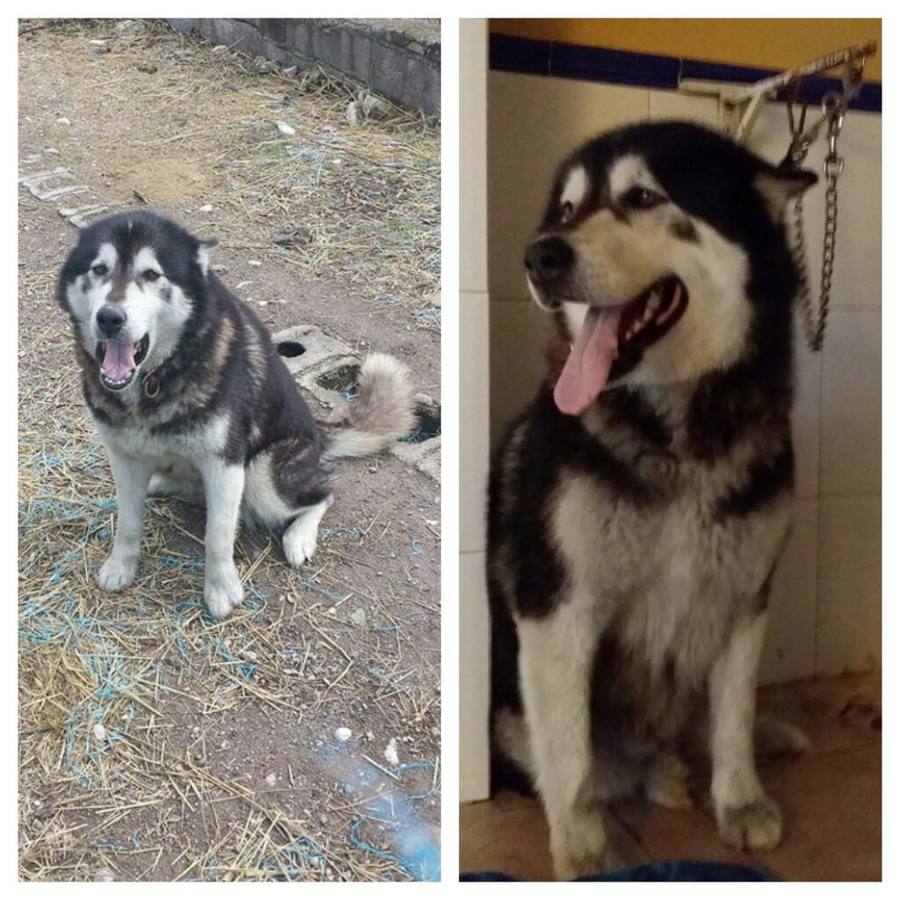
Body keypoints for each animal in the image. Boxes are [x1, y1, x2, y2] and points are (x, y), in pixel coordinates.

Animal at [58, 209, 416, 620]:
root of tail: (318, 432)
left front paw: (220, 589)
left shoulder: (226, 464)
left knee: (322, 495)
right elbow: (128, 521)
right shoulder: (124, 456)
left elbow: (218, 534)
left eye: (151, 274)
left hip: (261, 475)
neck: (157, 377)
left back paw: (299, 537)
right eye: (99, 269)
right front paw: (121, 566)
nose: (109, 318)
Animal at [488, 121, 820, 880]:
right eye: (568, 209)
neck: (675, 437)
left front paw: (740, 802)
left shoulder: (746, 593)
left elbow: (733, 721)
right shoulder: (558, 608)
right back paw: (656, 778)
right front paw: (583, 852)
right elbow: (571, 760)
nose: (539, 256)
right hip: (507, 714)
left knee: (703, 727)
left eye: (642, 197)